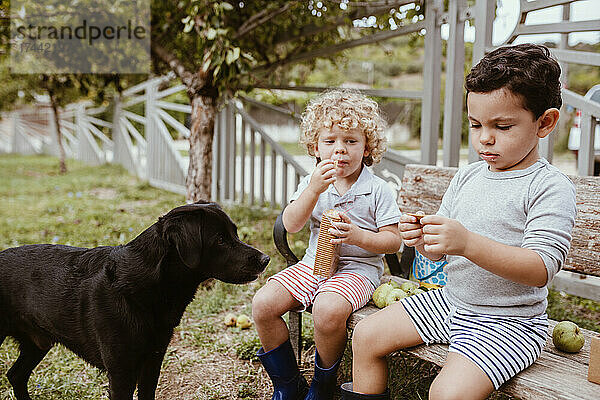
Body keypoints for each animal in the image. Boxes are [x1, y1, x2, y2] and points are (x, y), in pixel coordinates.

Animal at [0, 202, 268, 398]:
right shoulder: (121, 373)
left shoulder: (152, 362)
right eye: (220, 240)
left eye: (235, 233)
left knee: (15, 375)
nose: (265, 259)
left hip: (37, 343)